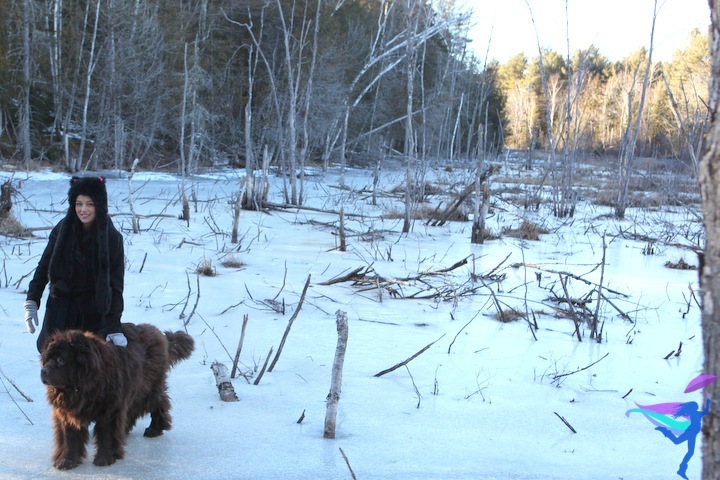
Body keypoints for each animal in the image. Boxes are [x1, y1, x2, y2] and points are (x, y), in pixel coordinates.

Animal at [41, 322, 194, 468]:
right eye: (47, 359)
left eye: (60, 360)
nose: (43, 371)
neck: (82, 387)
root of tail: (158, 333)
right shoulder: (67, 412)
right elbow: (69, 437)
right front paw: (66, 461)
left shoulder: (109, 410)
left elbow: (106, 434)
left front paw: (104, 459)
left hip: (147, 389)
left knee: (159, 402)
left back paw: (155, 428)